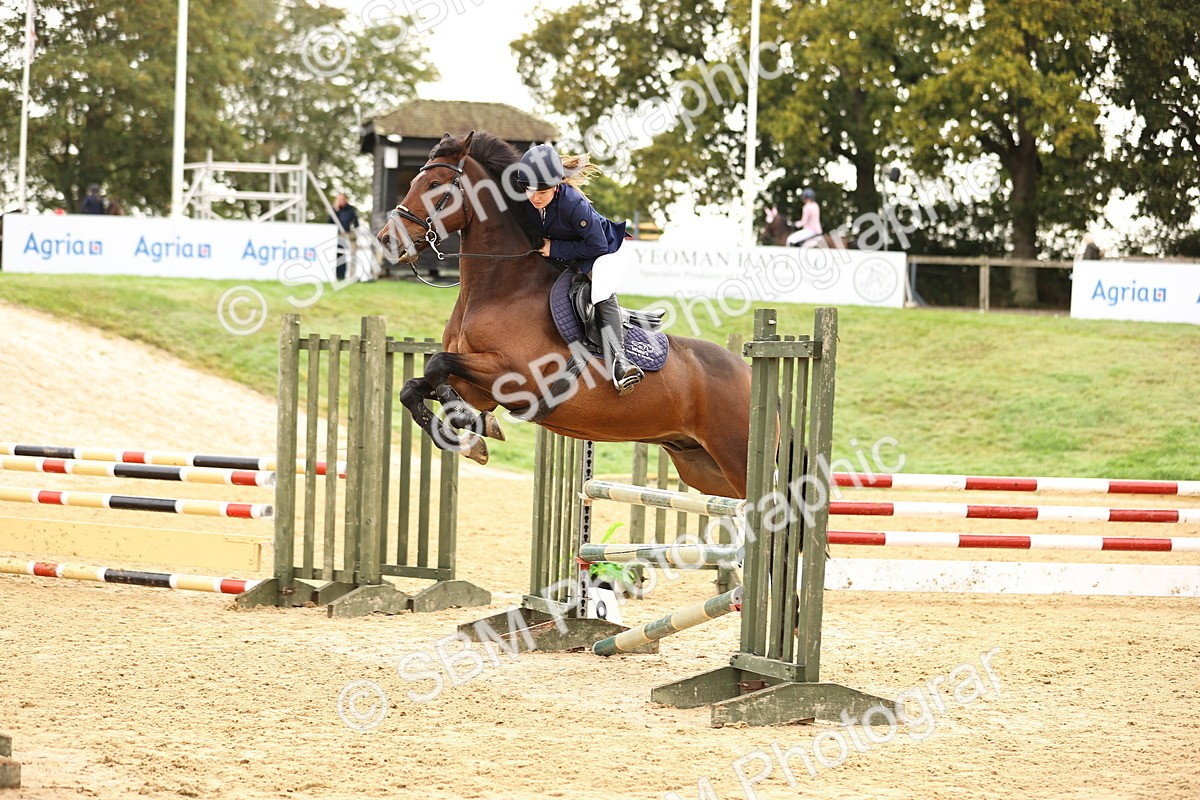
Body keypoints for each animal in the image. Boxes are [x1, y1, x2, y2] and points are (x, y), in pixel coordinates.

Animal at [377, 131, 752, 498]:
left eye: (434, 184)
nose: (387, 240)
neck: (500, 287)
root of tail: (749, 372)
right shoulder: (477, 389)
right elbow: (413, 388)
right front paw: (473, 440)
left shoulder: (515, 375)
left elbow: (437, 364)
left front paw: (478, 428)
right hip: (703, 466)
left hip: (736, 460)